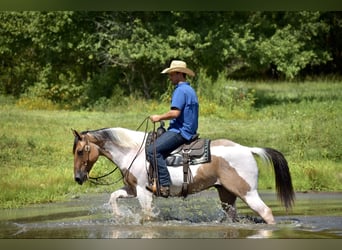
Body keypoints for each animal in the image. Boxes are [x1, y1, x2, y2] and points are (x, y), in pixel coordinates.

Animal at [71, 127, 294, 225]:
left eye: (80, 151)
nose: (78, 178)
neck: (132, 151)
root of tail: (248, 149)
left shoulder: (144, 192)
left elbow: (147, 215)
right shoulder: (132, 189)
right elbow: (113, 197)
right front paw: (118, 217)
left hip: (247, 192)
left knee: (266, 212)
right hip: (226, 194)